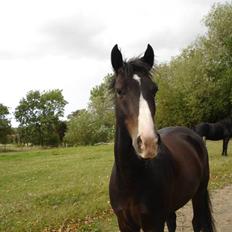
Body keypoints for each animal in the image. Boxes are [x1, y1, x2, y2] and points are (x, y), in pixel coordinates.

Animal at [109, 44, 216, 232]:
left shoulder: (153, 222)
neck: (130, 180)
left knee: (197, 222)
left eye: (154, 90)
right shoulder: (125, 223)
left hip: (199, 192)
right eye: (119, 91)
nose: (148, 143)